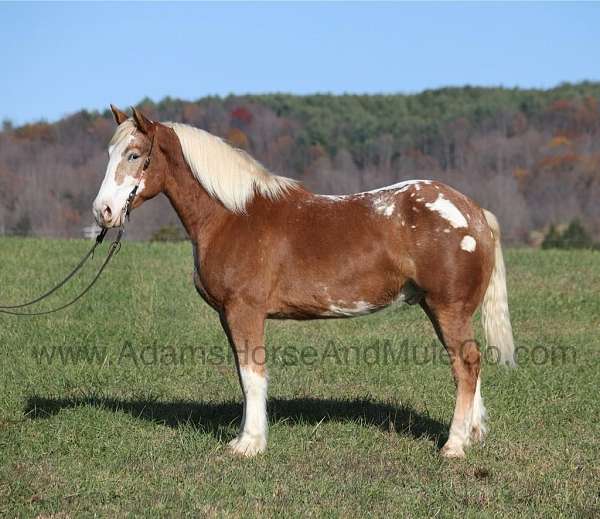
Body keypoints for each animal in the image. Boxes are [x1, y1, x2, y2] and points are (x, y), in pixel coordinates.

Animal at [94, 105, 516, 460]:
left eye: (134, 155)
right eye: (110, 153)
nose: (103, 212)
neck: (231, 216)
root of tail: (474, 212)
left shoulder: (244, 312)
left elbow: (253, 375)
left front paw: (249, 444)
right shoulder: (229, 316)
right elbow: (243, 375)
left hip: (448, 307)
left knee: (466, 365)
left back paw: (454, 446)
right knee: (472, 365)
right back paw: (474, 434)